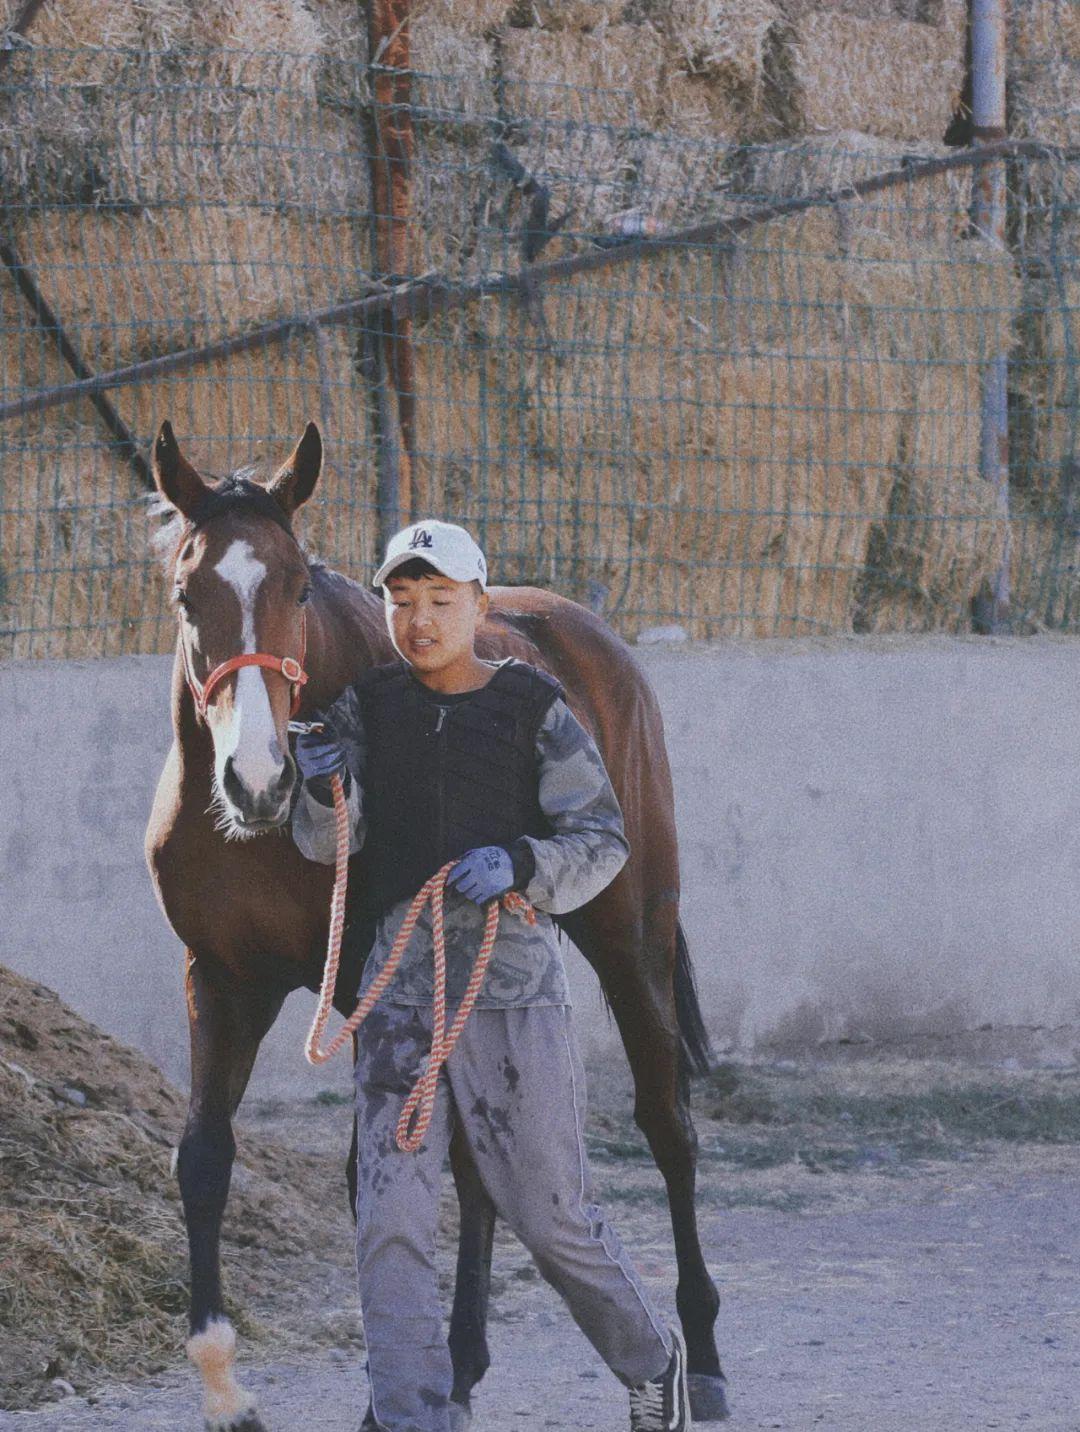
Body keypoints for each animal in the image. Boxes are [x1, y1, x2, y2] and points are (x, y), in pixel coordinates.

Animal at [143, 418, 727, 1426]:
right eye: (188, 592)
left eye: (299, 584)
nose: (259, 780)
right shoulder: (219, 980)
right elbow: (205, 1158)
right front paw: (224, 1388)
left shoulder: (362, 985)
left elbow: (371, 1179)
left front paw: (383, 1393)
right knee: (476, 1161)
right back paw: (461, 1360)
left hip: (631, 935)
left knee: (666, 1123)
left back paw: (704, 1355)